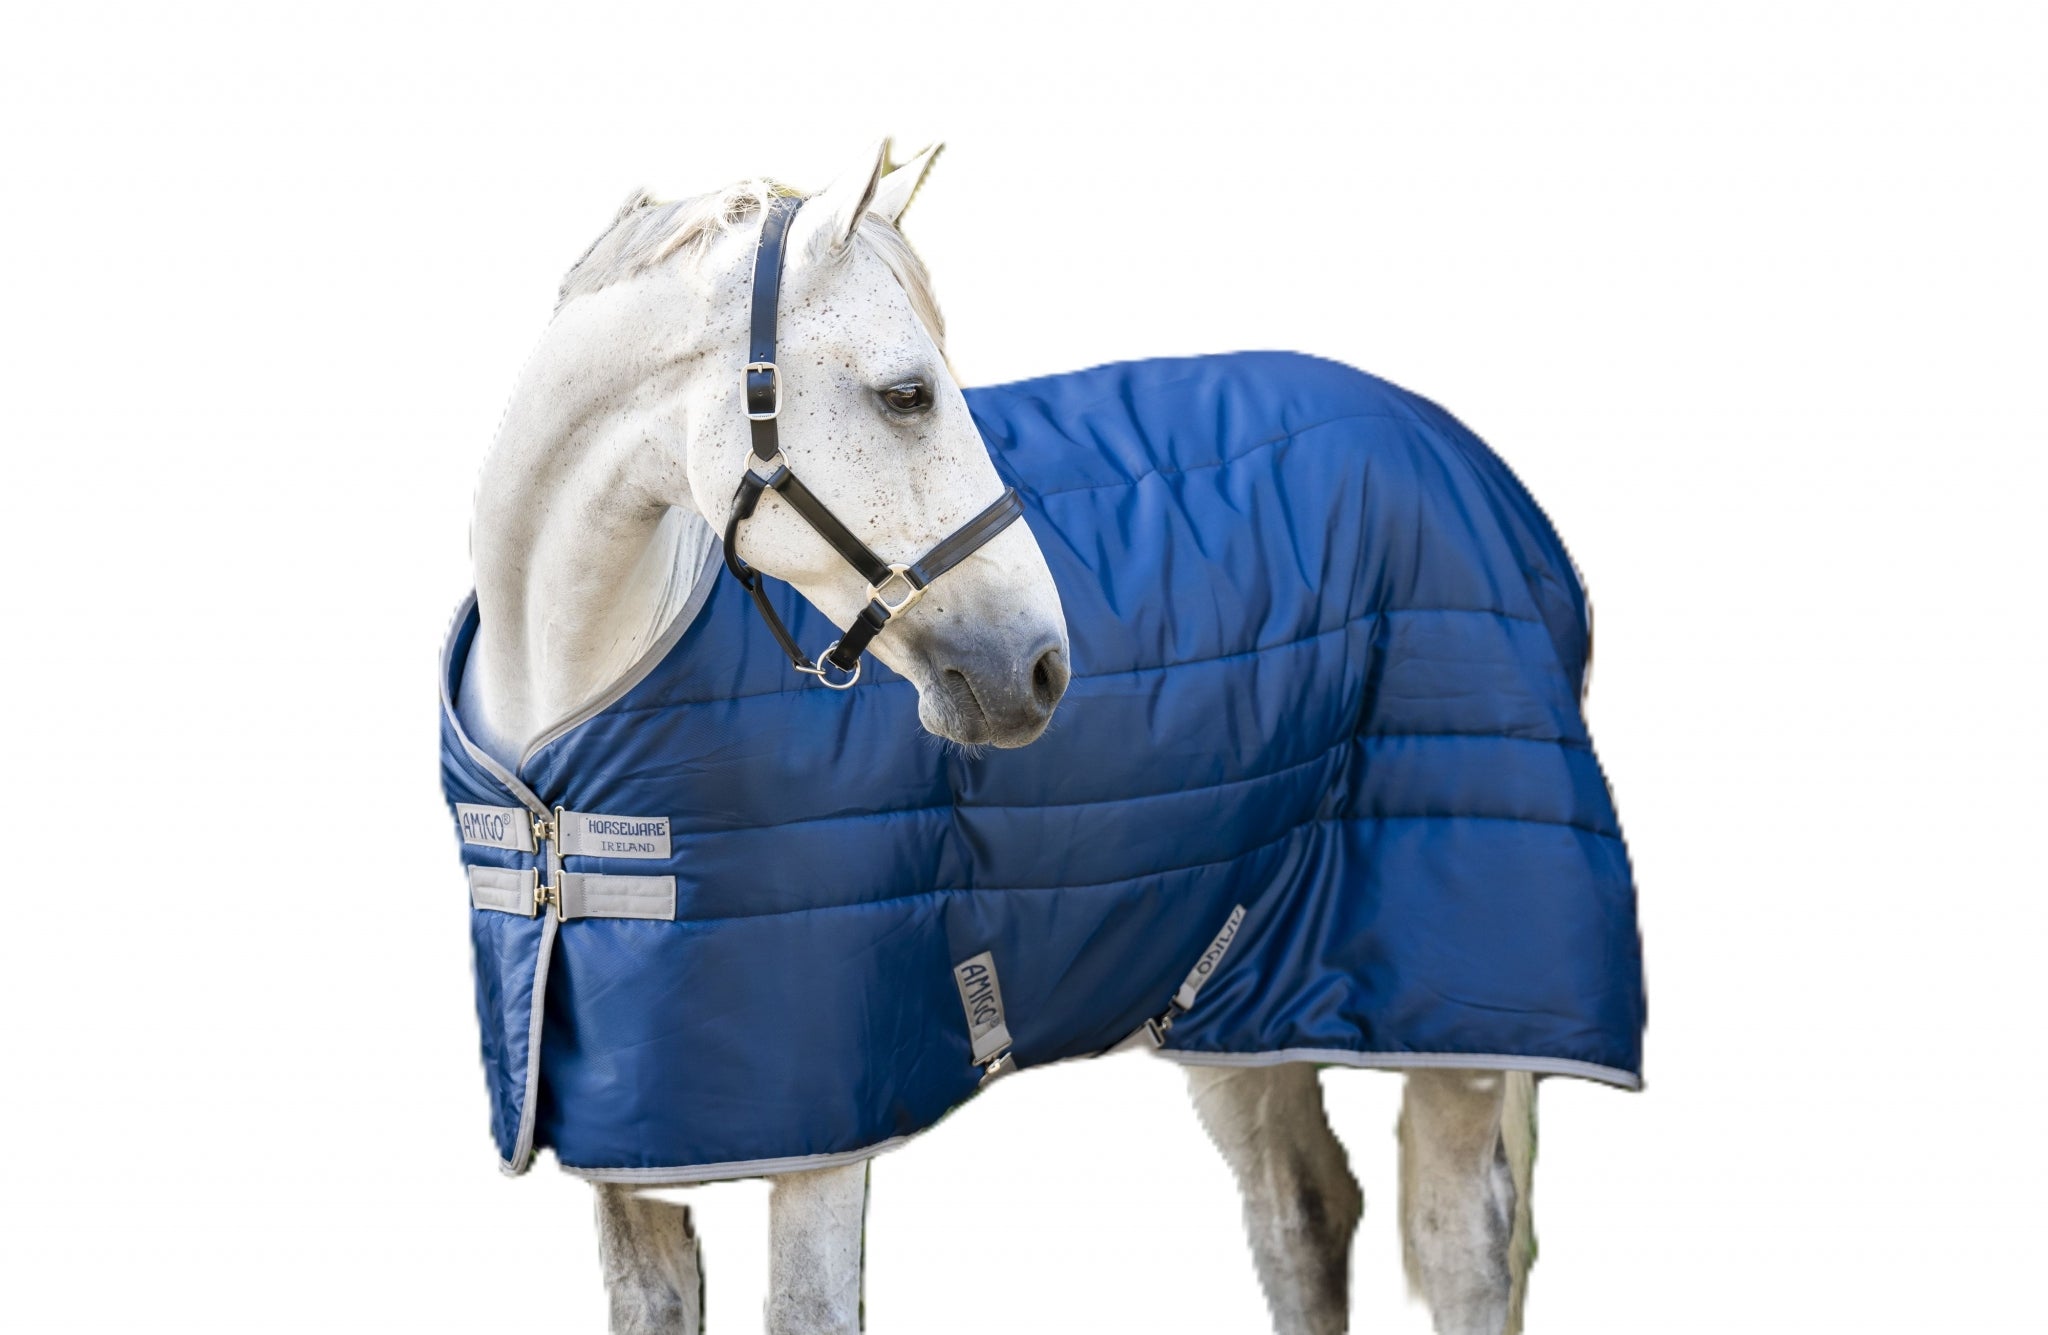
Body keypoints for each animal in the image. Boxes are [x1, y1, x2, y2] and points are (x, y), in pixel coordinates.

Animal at [449, 139, 1631, 1335]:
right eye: (908, 393)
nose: (1038, 669)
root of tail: (1470, 461)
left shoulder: (826, 1126)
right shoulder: (632, 1149)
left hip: (1456, 1006)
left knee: (1458, 1244)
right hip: (1236, 986)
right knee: (1302, 1215)